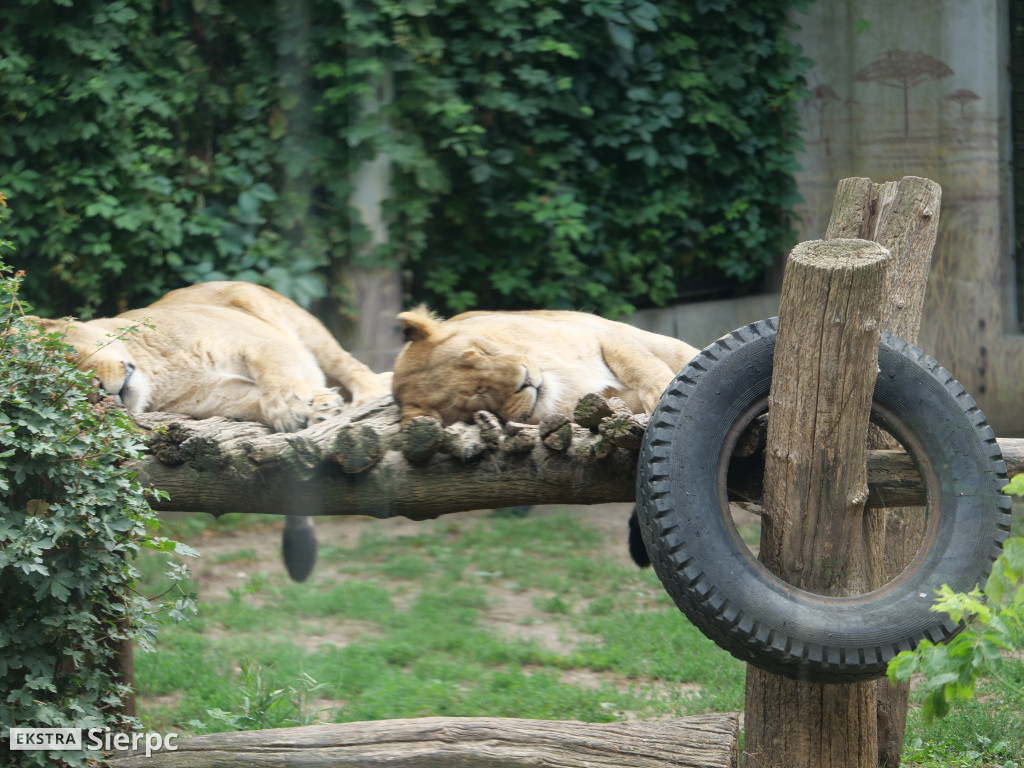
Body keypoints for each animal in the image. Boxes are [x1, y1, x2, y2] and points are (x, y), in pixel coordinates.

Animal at [29, 282, 391, 581]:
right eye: (67, 394)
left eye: (70, 357)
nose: (102, 393)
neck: (155, 371)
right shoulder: (220, 398)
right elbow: (259, 400)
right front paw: (307, 408)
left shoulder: (261, 343)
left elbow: (276, 372)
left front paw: (297, 408)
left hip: (301, 326)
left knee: (353, 367)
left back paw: (369, 394)